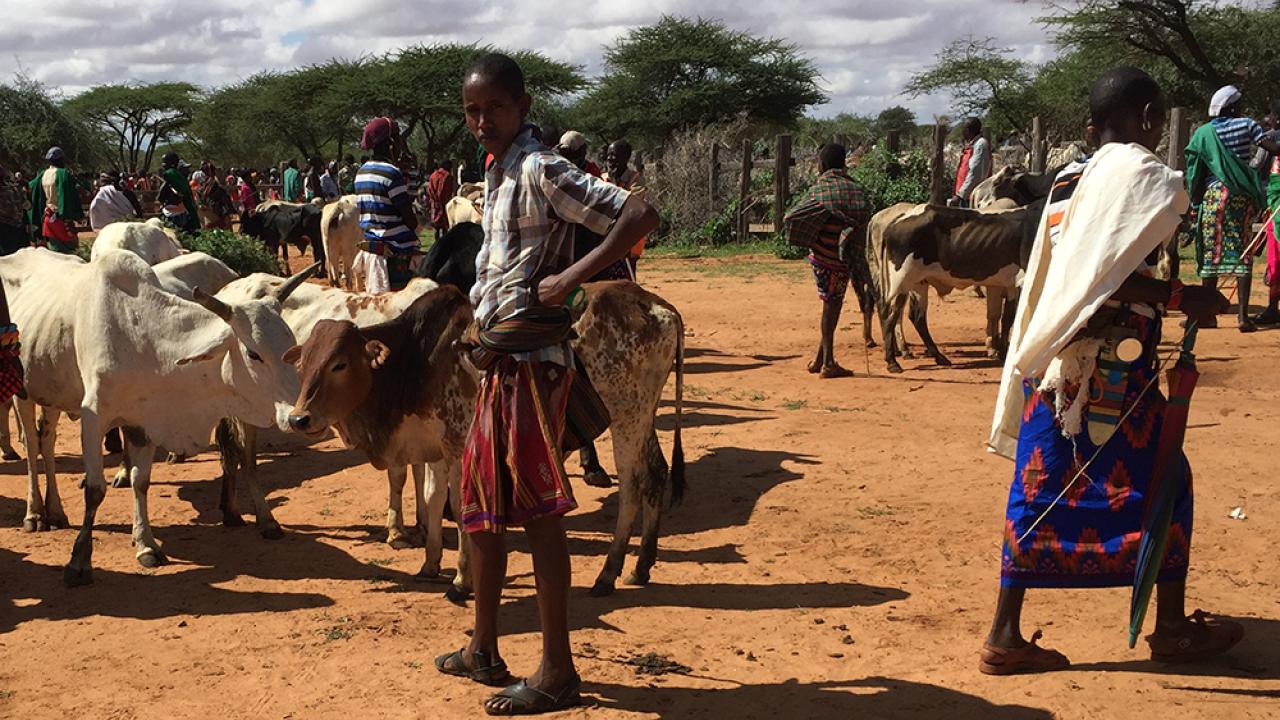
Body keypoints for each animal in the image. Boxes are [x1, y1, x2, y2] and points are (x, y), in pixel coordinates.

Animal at [0, 245, 307, 584]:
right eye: (254, 353)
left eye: (292, 345)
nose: (298, 417)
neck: (140, 332)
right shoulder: (94, 418)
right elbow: (95, 490)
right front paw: (79, 562)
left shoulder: (143, 421)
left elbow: (141, 482)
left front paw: (145, 544)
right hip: (22, 393)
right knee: (32, 447)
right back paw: (34, 514)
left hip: (52, 396)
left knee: (48, 441)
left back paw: (55, 511)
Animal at [212, 274, 442, 543]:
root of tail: (229, 288)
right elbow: (400, 475)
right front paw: (397, 531)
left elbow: (418, 469)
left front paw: (422, 523)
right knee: (244, 457)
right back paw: (266, 520)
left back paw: (231, 512)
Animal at [284, 280, 686, 599]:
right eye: (303, 363)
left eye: (340, 364)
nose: (299, 418)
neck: (417, 359)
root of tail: (656, 306)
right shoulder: (436, 447)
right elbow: (432, 500)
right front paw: (430, 564)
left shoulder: (459, 443)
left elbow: (458, 509)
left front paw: (462, 580)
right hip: (643, 415)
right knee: (656, 474)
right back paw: (641, 566)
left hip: (626, 418)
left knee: (632, 486)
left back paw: (608, 573)